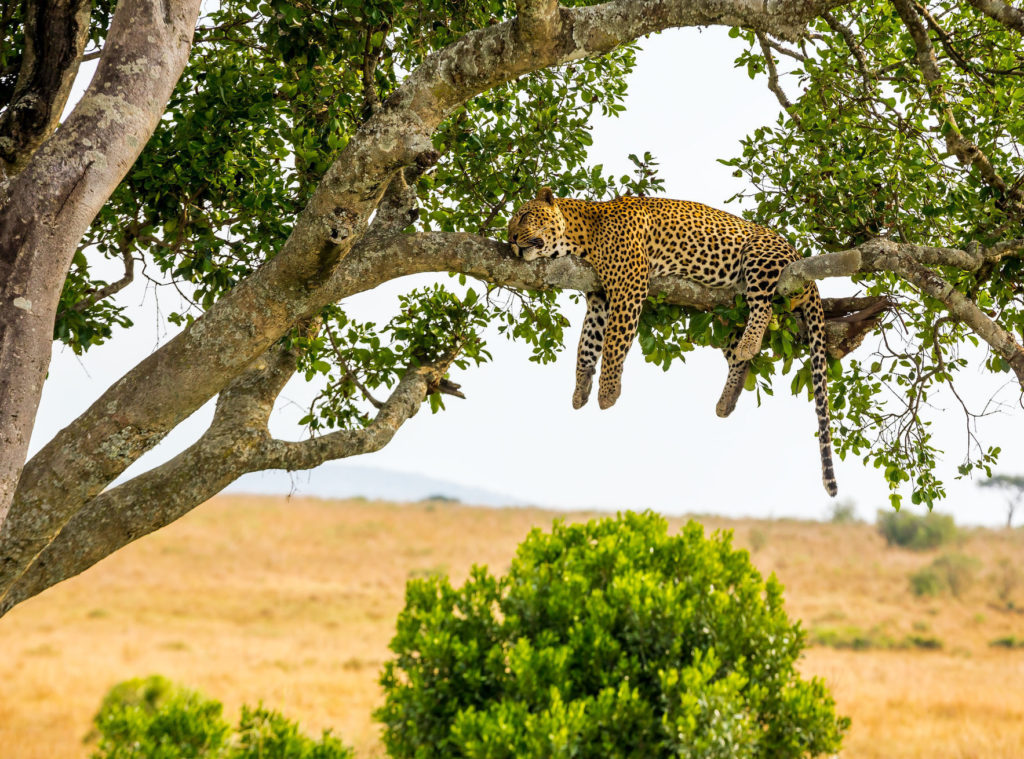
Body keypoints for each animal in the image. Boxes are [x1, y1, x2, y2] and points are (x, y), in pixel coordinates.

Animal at [507, 186, 835, 497]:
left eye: (524, 216)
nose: (510, 238)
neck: (582, 235)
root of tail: (798, 257)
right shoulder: (599, 298)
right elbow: (587, 345)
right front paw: (580, 389)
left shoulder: (629, 286)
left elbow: (614, 342)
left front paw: (608, 392)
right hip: (727, 312)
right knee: (737, 356)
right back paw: (728, 398)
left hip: (760, 256)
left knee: (764, 307)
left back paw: (750, 344)